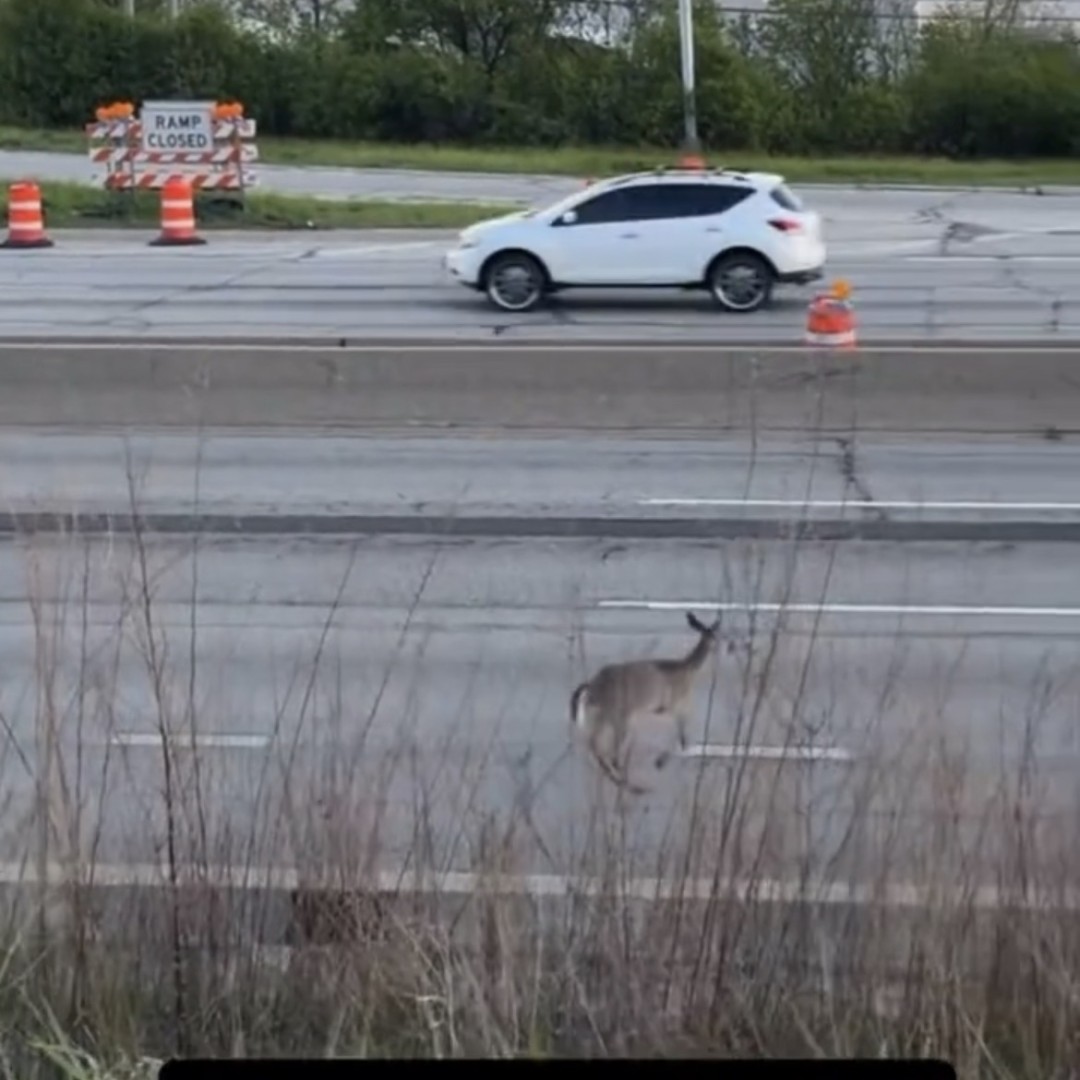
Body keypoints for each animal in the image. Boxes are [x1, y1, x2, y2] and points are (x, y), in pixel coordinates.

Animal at [569, 610, 723, 794]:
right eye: (717, 637)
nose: (727, 647)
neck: (687, 670)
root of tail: (592, 686)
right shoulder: (676, 704)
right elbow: (682, 738)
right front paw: (660, 761)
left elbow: (682, 738)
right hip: (618, 714)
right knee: (611, 755)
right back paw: (632, 785)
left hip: (603, 714)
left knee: (595, 746)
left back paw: (627, 784)